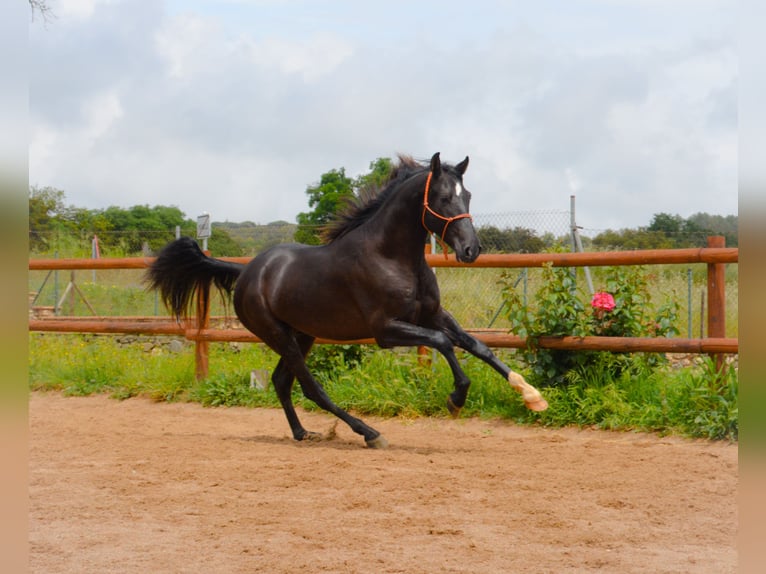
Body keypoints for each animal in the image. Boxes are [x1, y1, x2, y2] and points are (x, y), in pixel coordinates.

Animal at [146, 152, 547, 448]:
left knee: (281, 381)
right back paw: (369, 433)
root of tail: (246, 272)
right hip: (278, 335)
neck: (391, 256)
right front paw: (455, 400)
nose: (471, 250)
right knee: (311, 387)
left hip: (302, 334)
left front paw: (533, 396)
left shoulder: (433, 314)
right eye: (443, 197)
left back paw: (302, 433)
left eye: (468, 196)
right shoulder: (386, 330)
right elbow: (444, 343)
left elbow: (479, 346)